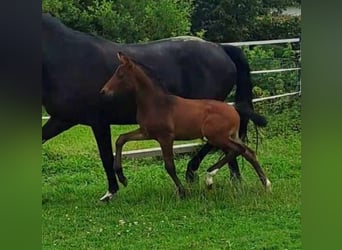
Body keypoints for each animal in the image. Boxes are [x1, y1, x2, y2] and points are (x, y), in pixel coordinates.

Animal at [100, 52, 272, 197]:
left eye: (120, 75)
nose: (103, 91)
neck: (157, 103)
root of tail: (234, 109)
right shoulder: (146, 132)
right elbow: (121, 139)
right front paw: (122, 178)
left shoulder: (165, 137)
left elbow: (169, 166)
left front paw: (182, 192)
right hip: (231, 136)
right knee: (248, 152)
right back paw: (266, 184)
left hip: (217, 137)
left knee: (238, 150)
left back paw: (209, 177)